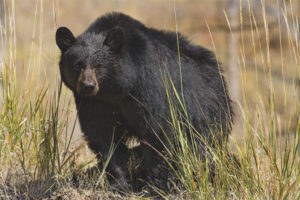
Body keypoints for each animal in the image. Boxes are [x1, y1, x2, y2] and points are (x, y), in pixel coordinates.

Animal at [56, 12, 233, 194]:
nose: (88, 86)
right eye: (77, 65)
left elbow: (158, 132)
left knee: (201, 148)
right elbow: (104, 136)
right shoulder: (95, 103)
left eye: (99, 66)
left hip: (206, 111)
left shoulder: (149, 88)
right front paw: (119, 183)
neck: (117, 89)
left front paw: (156, 187)